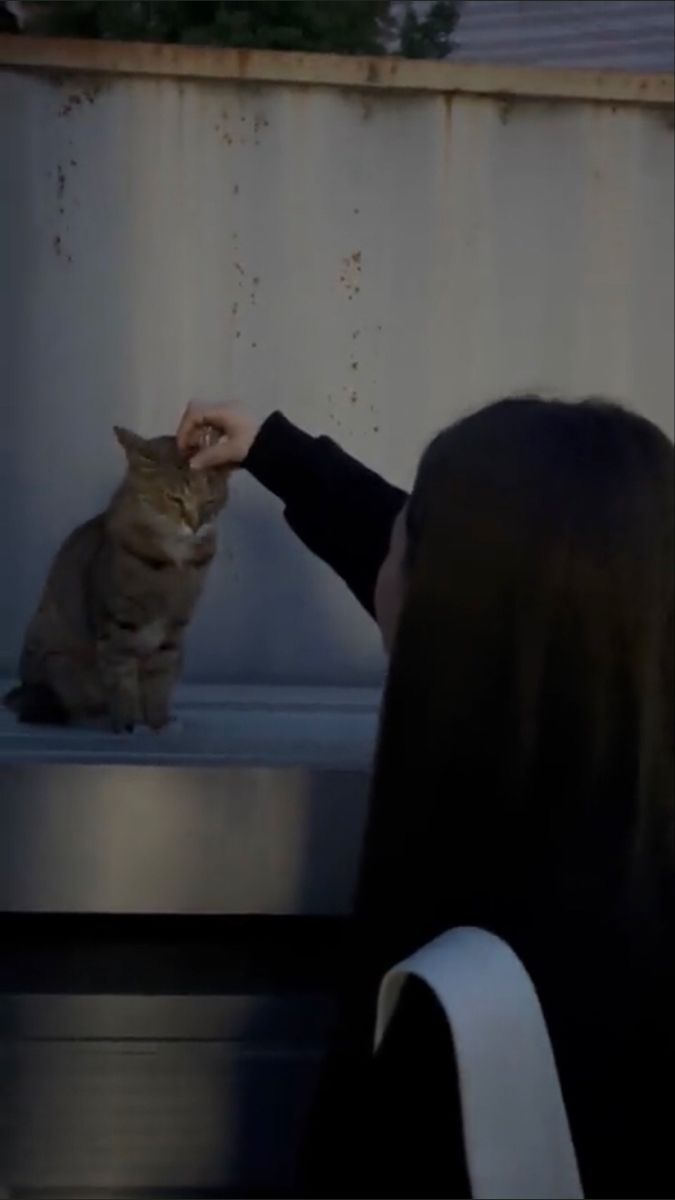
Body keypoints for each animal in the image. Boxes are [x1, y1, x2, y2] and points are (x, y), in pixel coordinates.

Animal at [2, 427, 229, 734]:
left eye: (210, 501)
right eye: (174, 498)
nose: (196, 525)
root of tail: (26, 689)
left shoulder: (174, 629)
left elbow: (159, 681)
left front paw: (159, 722)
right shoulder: (118, 623)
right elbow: (122, 682)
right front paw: (126, 724)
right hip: (61, 665)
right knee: (71, 710)